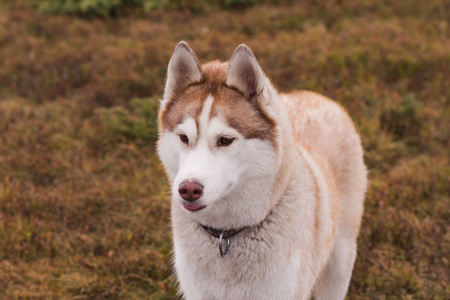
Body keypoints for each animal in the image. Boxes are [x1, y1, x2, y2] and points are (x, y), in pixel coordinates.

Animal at [156, 42, 368, 300]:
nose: (188, 189)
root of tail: (318, 96)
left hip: (340, 262)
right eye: (184, 137)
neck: (226, 236)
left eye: (225, 140)